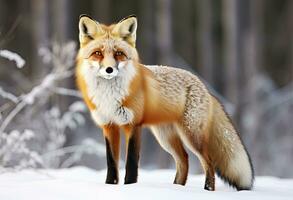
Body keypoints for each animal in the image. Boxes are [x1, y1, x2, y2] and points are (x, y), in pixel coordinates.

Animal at [75, 14, 253, 191]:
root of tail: (204, 87)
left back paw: (207, 190)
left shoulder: (133, 124)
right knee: (184, 160)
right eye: (98, 53)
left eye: (119, 53)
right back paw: (177, 188)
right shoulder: (108, 125)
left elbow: (131, 163)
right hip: (165, 138)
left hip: (191, 135)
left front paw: (131, 188)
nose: (109, 70)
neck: (109, 96)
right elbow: (111, 164)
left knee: (208, 162)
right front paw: (110, 187)